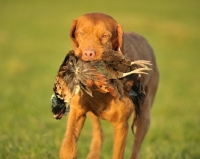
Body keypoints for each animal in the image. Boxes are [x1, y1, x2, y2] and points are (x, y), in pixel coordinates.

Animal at [59, 12, 159, 159]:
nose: (88, 53)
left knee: (136, 146)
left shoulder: (121, 125)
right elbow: (68, 147)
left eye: (105, 36)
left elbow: (118, 154)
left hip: (144, 116)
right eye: (81, 33)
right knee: (98, 133)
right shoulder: (77, 111)